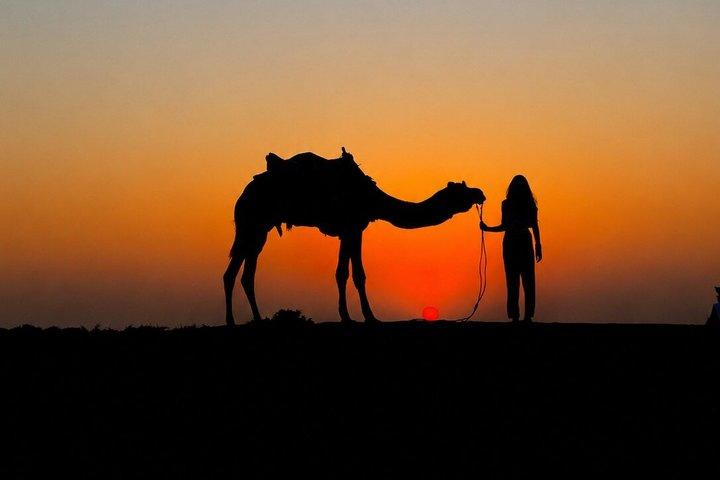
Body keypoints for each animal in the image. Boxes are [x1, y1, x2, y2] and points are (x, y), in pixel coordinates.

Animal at [223, 147, 485, 325]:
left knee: (245, 273)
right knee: (233, 273)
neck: (373, 198)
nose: (480, 193)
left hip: (259, 229)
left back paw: (256, 319)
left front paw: (348, 316)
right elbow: (357, 275)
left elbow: (342, 273)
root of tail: (242, 195)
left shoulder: (348, 231)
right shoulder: (354, 228)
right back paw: (232, 321)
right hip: (251, 223)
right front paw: (369, 317)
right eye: (461, 190)